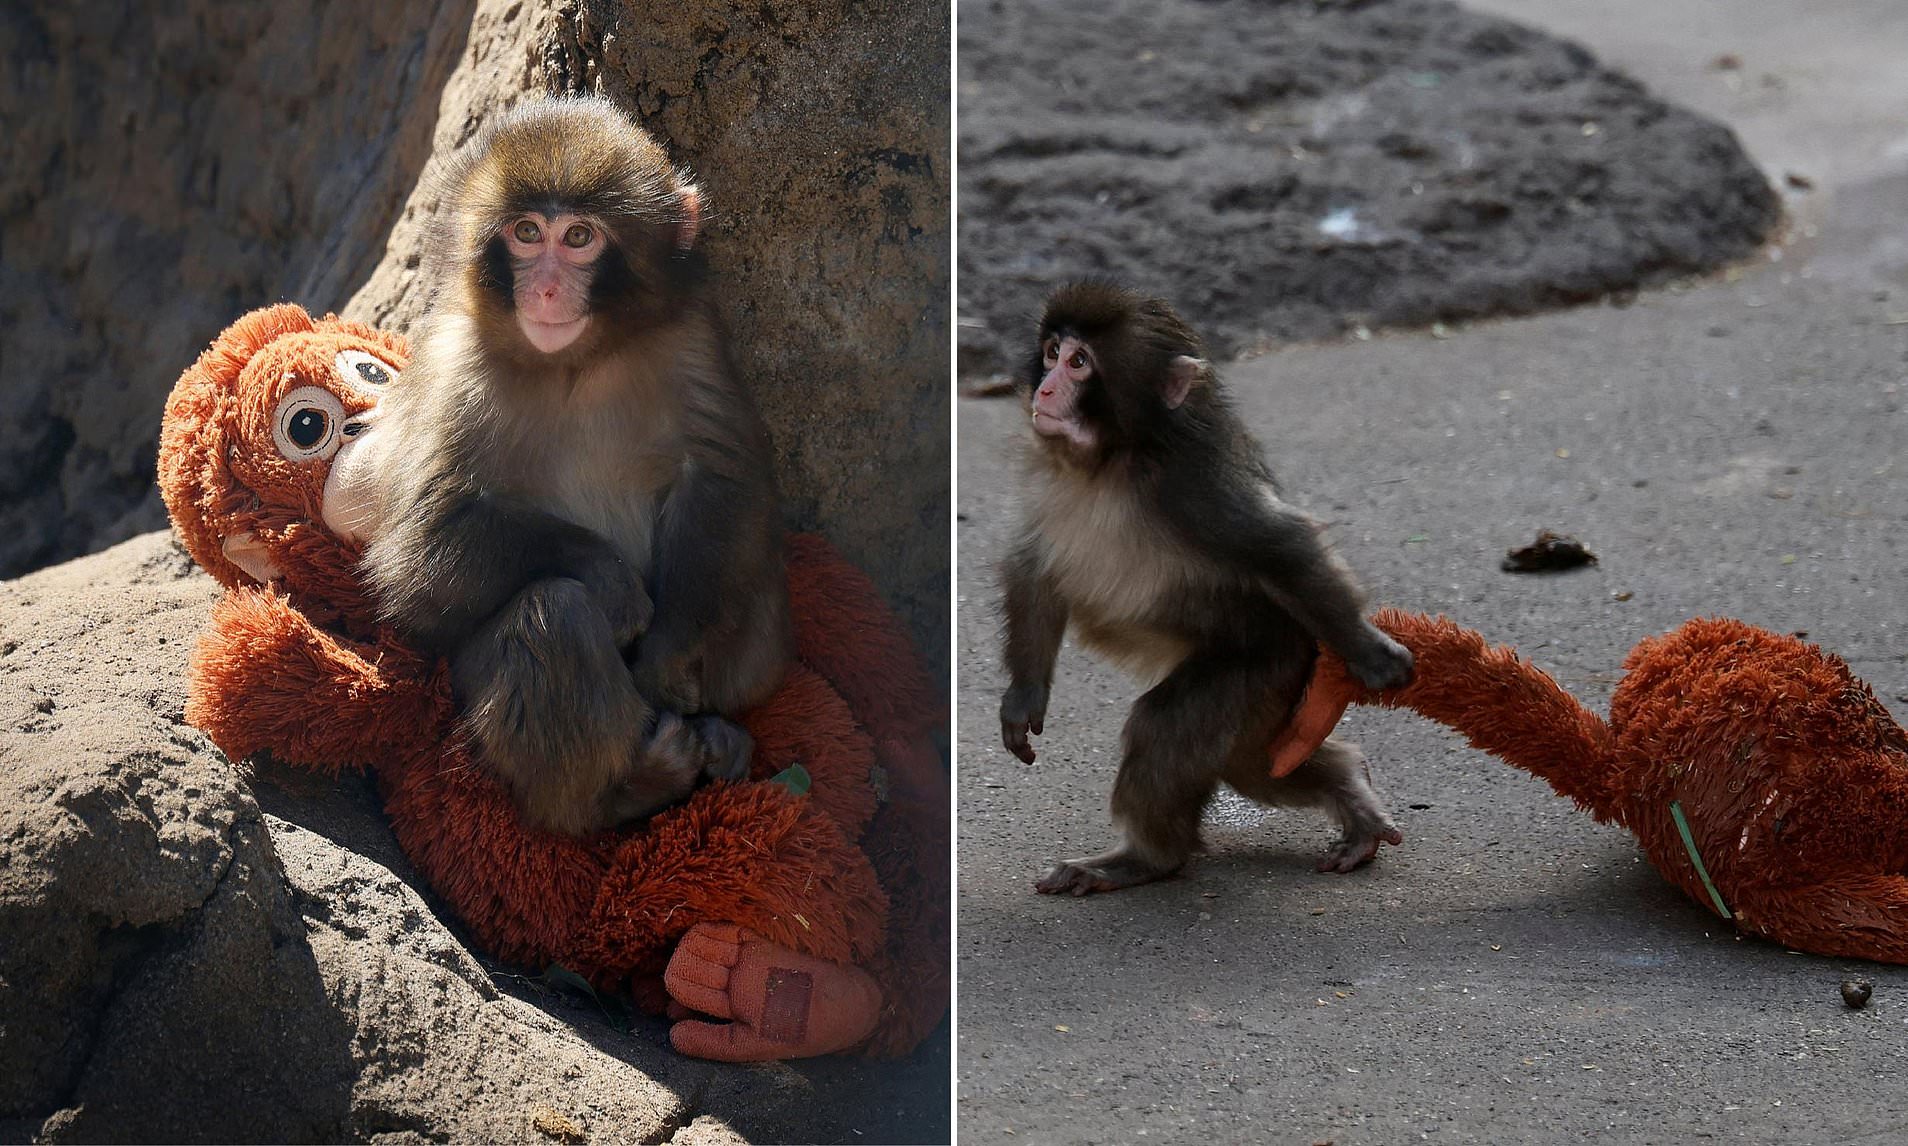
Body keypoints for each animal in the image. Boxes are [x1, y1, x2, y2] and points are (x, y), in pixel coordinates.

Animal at [348, 95, 793, 838]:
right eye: (528, 233)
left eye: (579, 237)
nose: (549, 290)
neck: (574, 363)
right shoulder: (453, 363)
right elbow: (421, 548)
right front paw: (609, 579)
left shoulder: (691, 335)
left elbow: (720, 477)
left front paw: (668, 655)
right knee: (553, 614)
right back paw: (625, 790)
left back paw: (719, 732)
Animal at [997, 282, 1416, 896]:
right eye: (1051, 352)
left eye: (1079, 363)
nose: (1046, 388)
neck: (1112, 459)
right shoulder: (1045, 476)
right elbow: (1034, 568)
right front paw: (1024, 696)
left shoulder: (1196, 486)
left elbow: (1280, 544)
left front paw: (1371, 651)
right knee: (1257, 763)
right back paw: (1351, 787)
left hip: (1265, 663)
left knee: (1169, 728)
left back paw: (1147, 858)